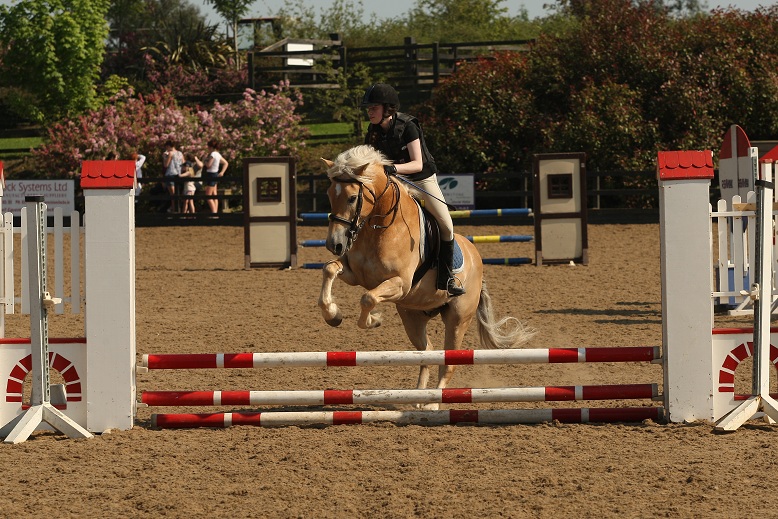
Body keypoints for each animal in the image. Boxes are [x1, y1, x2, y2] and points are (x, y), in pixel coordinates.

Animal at [318, 145, 535, 402]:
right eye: (329, 195)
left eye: (352, 198)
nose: (334, 244)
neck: (378, 228)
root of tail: (477, 258)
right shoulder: (355, 275)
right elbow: (330, 269)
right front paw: (333, 315)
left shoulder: (400, 284)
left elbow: (368, 298)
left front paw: (374, 320)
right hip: (412, 316)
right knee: (427, 352)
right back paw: (421, 397)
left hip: (457, 319)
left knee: (448, 363)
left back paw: (433, 403)